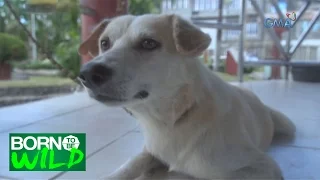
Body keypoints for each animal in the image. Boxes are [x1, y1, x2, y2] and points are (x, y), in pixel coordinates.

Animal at [77, 13, 296, 179]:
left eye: (148, 43)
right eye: (104, 43)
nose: (87, 74)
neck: (172, 120)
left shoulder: (262, 166)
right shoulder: (150, 151)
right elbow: (131, 164)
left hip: (286, 125)